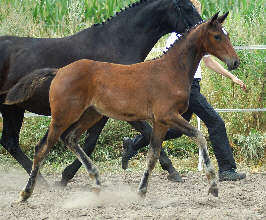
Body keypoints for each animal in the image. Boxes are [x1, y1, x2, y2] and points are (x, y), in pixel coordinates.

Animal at [18, 12, 239, 201]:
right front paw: (213, 186)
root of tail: (60, 71)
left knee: (70, 139)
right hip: (63, 116)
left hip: (91, 114)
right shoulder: (167, 115)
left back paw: (96, 181)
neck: (171, 70)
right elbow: (199, 136)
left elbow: (152, 156)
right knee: (42, 149)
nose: (235, 62)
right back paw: (26, 193)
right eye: (217, 36)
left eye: (226, 34)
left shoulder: (160, 122)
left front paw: (141, 191)